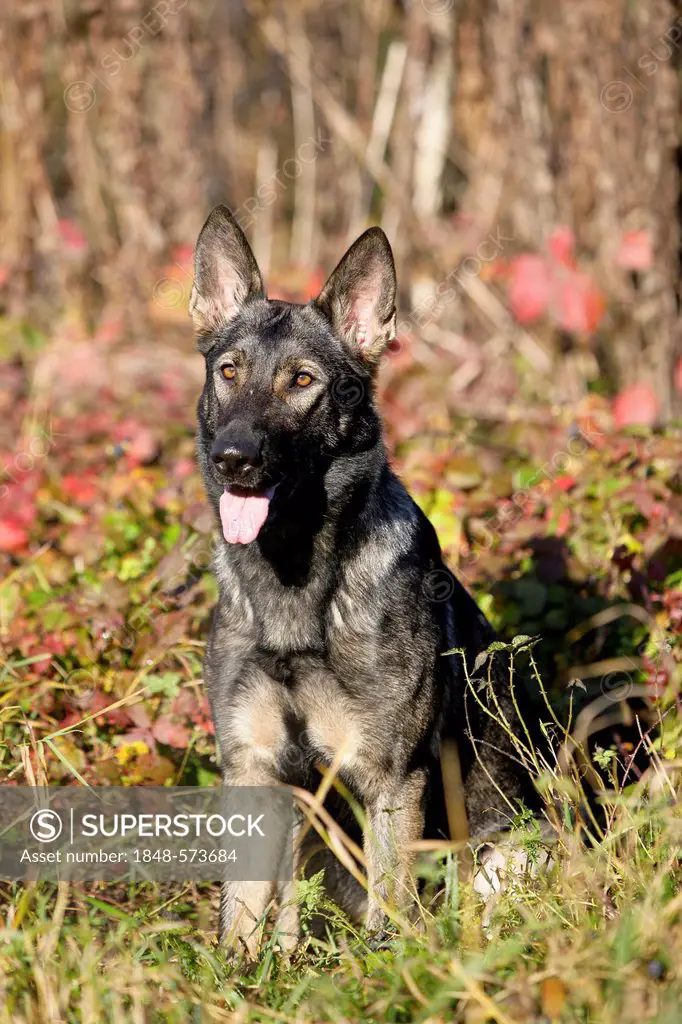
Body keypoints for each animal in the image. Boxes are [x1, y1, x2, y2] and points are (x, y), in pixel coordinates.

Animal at [191, 203, 536, 954]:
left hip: (507, 855)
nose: (233, 458)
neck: (294, 587)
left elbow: (389, 918)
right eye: (229, 372)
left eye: (301, 382)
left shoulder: (389, 780)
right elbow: (239, 916)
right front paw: (235, 971)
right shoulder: (252, 770)